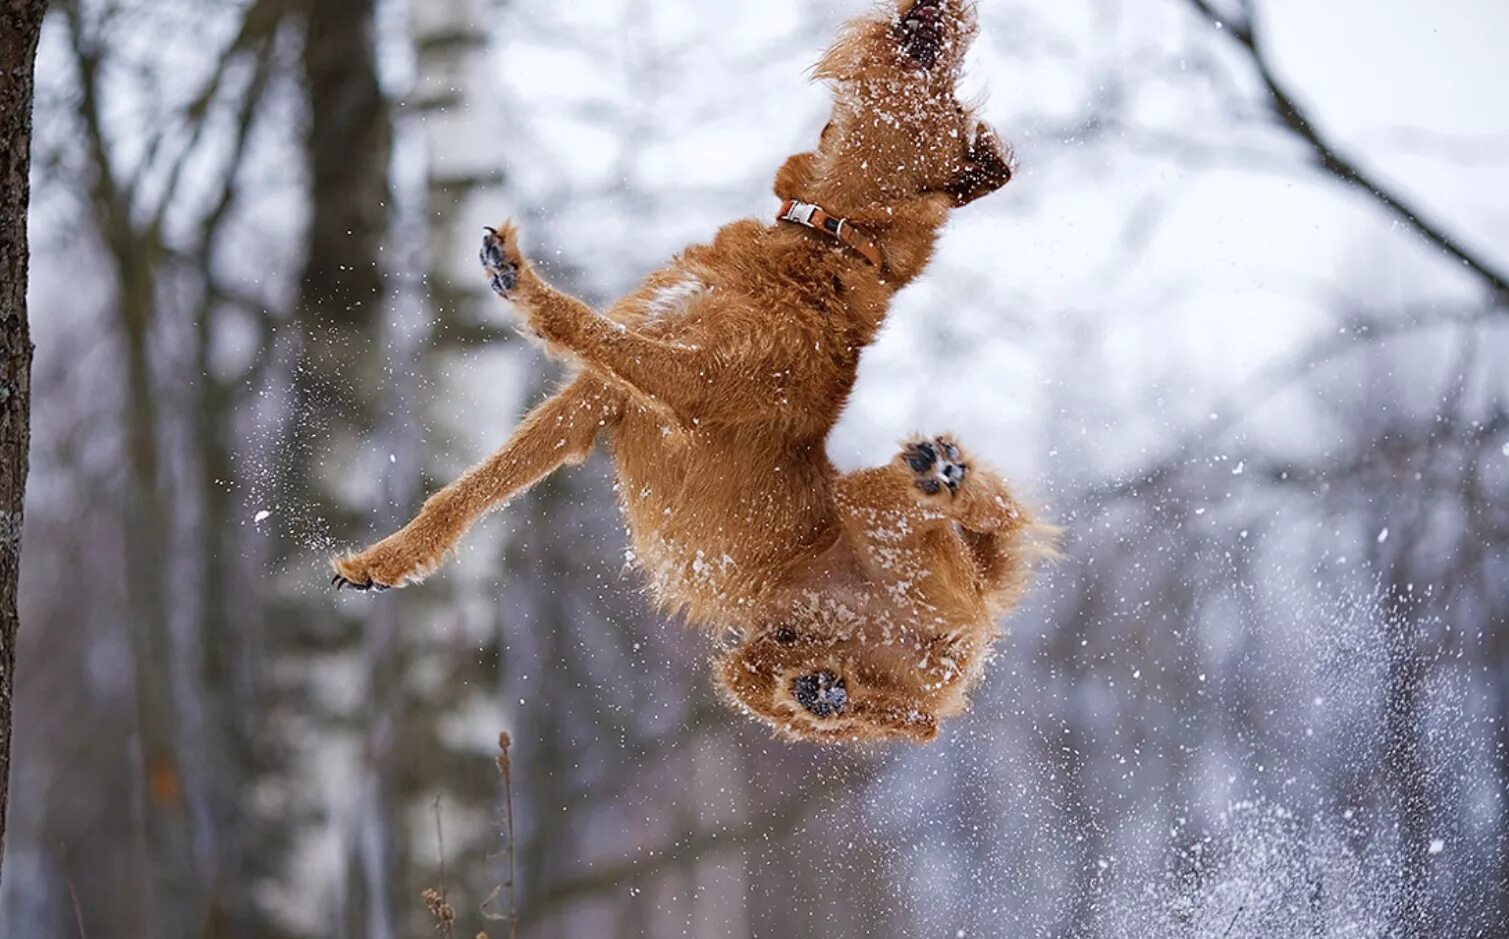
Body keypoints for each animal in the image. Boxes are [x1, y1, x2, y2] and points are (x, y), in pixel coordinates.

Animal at [336, 1, 1056, 751]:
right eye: (951, 91)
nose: (946, 10)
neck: (822, 243)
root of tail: (975, 619)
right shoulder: (597, 398)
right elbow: (478, 486)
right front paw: (386, 560)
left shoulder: (694, 385)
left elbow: (594, 332)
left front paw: (525, 284)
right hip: (757, 662)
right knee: (899, 718)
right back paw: (823, 690)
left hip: (875, 514)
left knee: (946, 644)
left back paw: (946, 475)